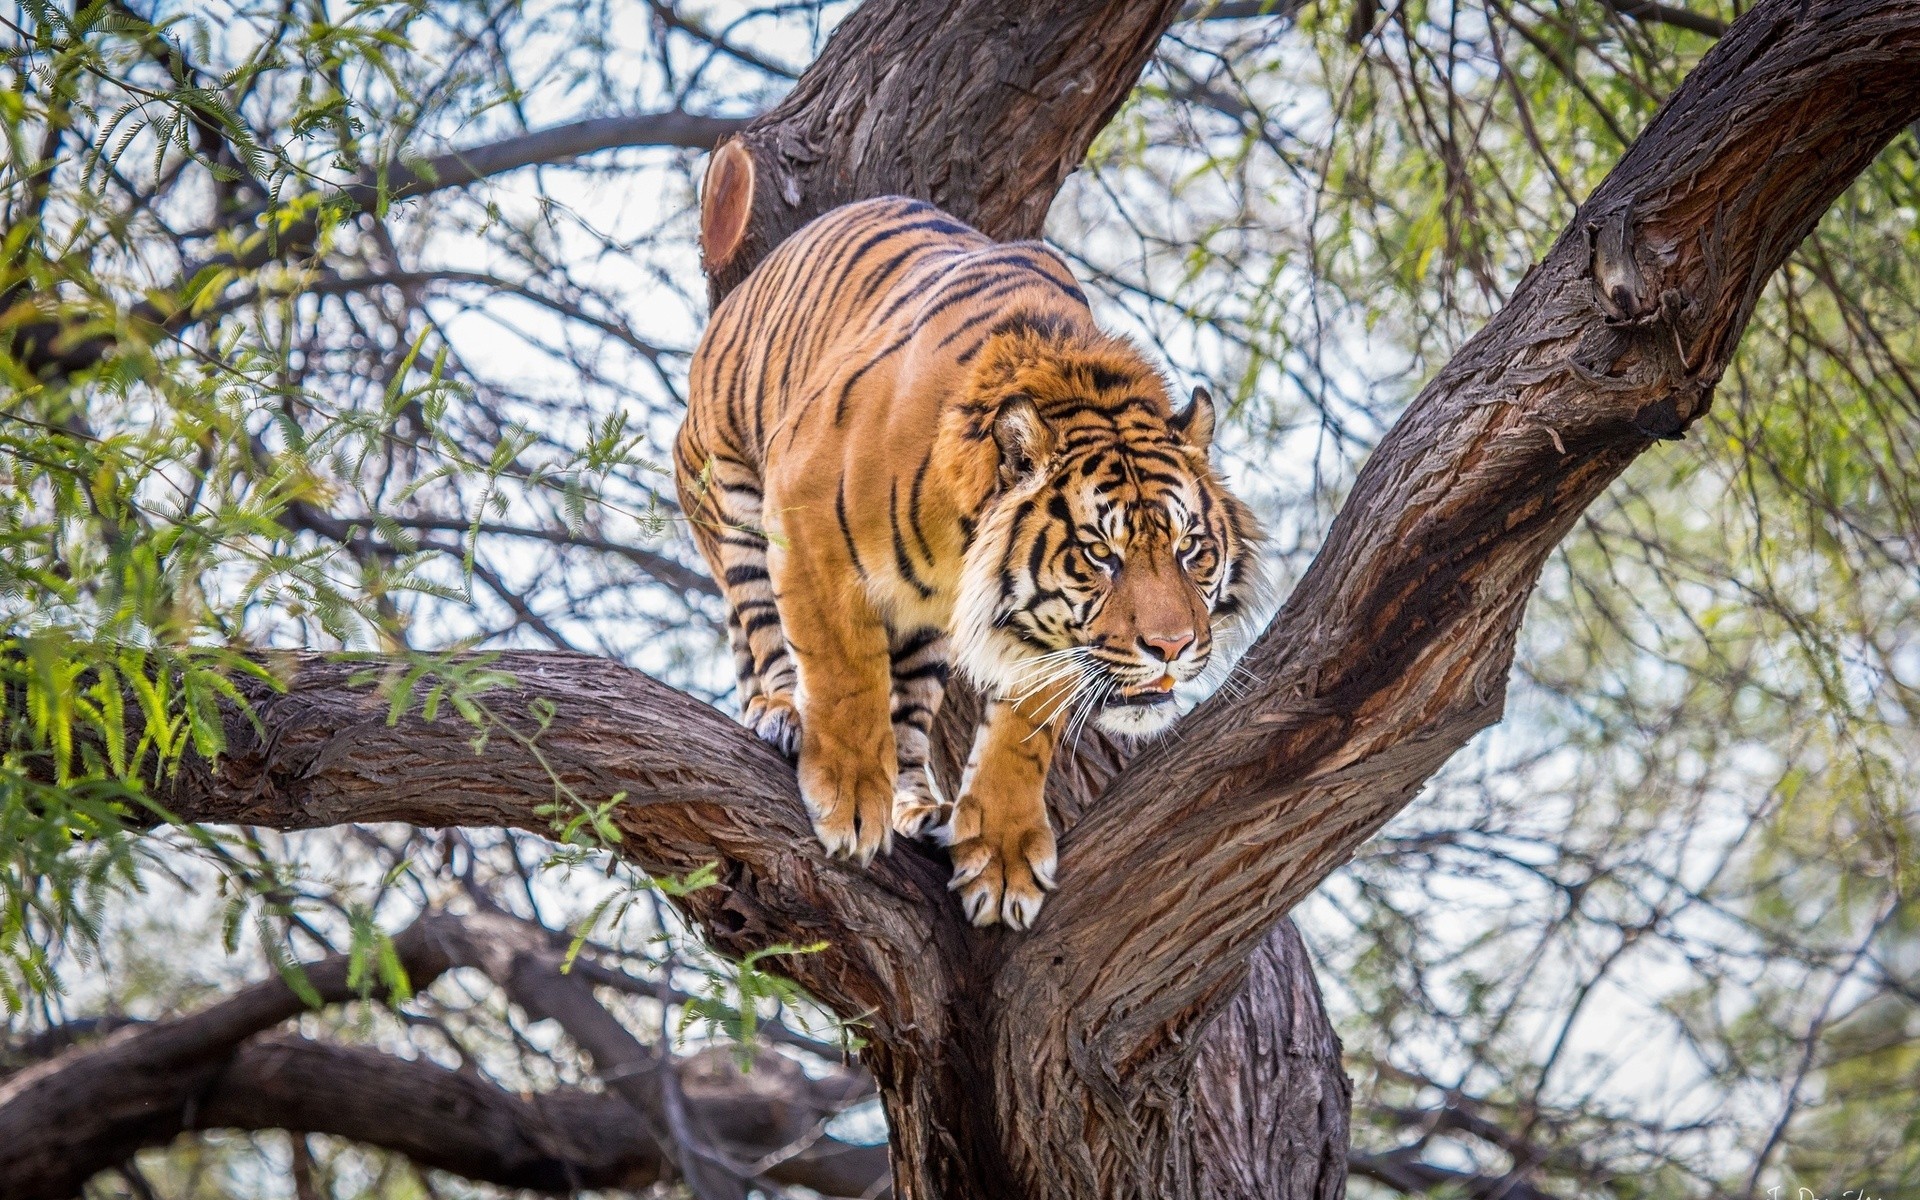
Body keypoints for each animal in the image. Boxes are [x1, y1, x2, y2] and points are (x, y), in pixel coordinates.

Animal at [674, 195, 1266, 929]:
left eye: (1191, 550)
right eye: (1100, 554)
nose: (1173, 646)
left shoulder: (1048, 638)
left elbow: (1021, 733)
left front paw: (1003, 858)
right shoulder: (805, 518)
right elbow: (843, 671)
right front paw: (849, 797)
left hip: (925, 631)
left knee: (906, 719)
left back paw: (920, 807)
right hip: (729, 491)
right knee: (762, 632)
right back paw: (784, 713)